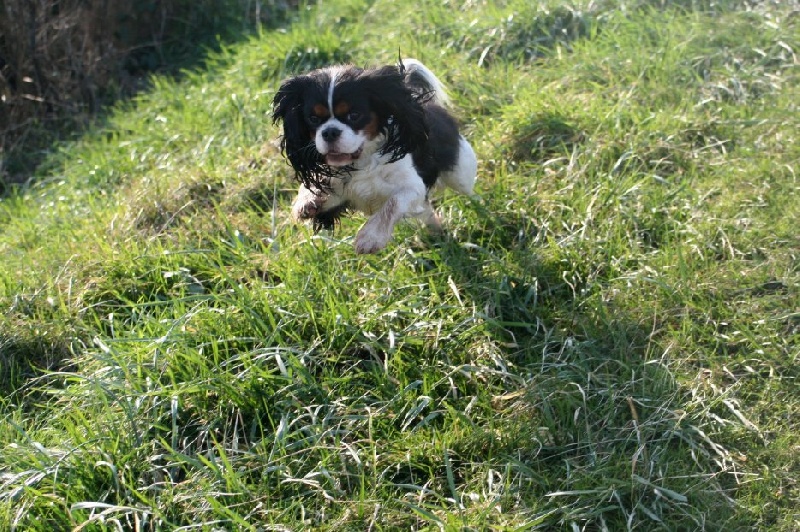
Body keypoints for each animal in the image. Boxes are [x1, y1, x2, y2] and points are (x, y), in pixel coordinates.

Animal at [272, 58, 478, 254]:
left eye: (354, 115)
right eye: (313, 119)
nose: (329, 132)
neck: (360, 162)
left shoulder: (413, 187)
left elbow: (393, 203)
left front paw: (370, 238)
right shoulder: (342, 194)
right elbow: (319, 189)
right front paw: (306, 200)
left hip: (460, 175)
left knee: (469, 192)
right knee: (427, 213)